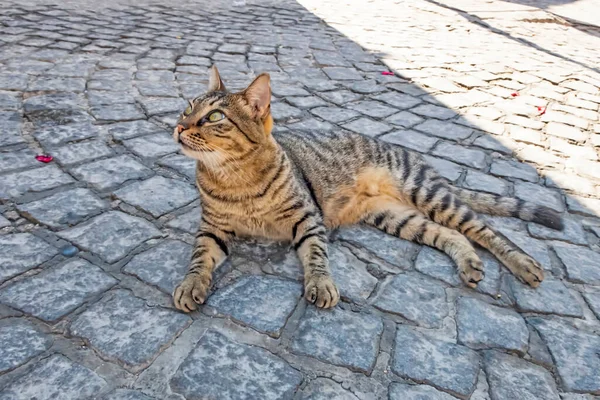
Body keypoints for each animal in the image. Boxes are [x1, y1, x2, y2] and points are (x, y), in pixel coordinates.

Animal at [171, 65, 564, 312]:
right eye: (186, 108)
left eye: (214, 117)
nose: (178, 126)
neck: (234, 176)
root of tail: (414, 156)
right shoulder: (212, 228)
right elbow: (199, 257)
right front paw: (191, 284)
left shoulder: (308, 218)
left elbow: (316, 254)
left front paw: (321, 282)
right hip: (397, 217)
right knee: (452, 235)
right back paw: (469, 263)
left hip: (427, 193)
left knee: (485, 230)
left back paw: (523, 263)